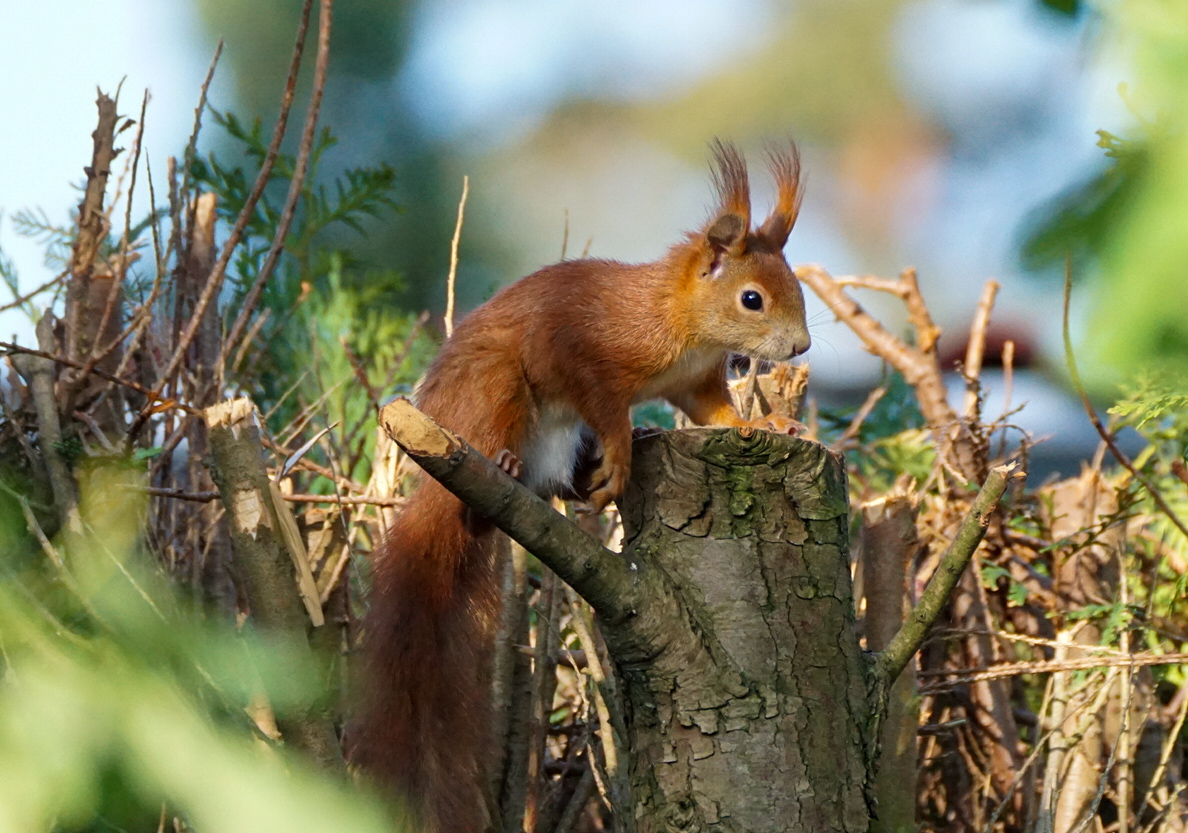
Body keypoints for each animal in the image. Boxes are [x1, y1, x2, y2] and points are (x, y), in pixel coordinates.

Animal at [354, 139, 807, 827]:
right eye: (752, 299)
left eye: (797, 287)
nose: (802, 346)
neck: (681, 323)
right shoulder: (586, 356)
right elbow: (605, 404)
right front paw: (620, 451)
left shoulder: (693, 383)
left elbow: (719, 414)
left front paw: (769, 422)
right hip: (495, 394)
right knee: (473, 504)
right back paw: (504, 471)